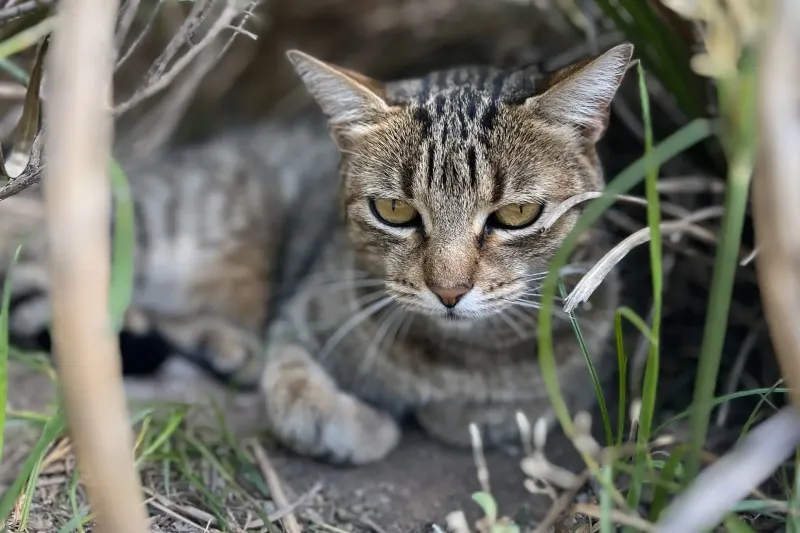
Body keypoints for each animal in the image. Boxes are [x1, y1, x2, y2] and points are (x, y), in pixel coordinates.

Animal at [3, 43, 636, 464]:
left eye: (516, 215)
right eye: (395, 211)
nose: (449, 291)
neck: (450, 355)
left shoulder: (581, 376)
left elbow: (513, 407)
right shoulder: (296, 318)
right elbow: (295, 395)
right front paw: (359, 423)